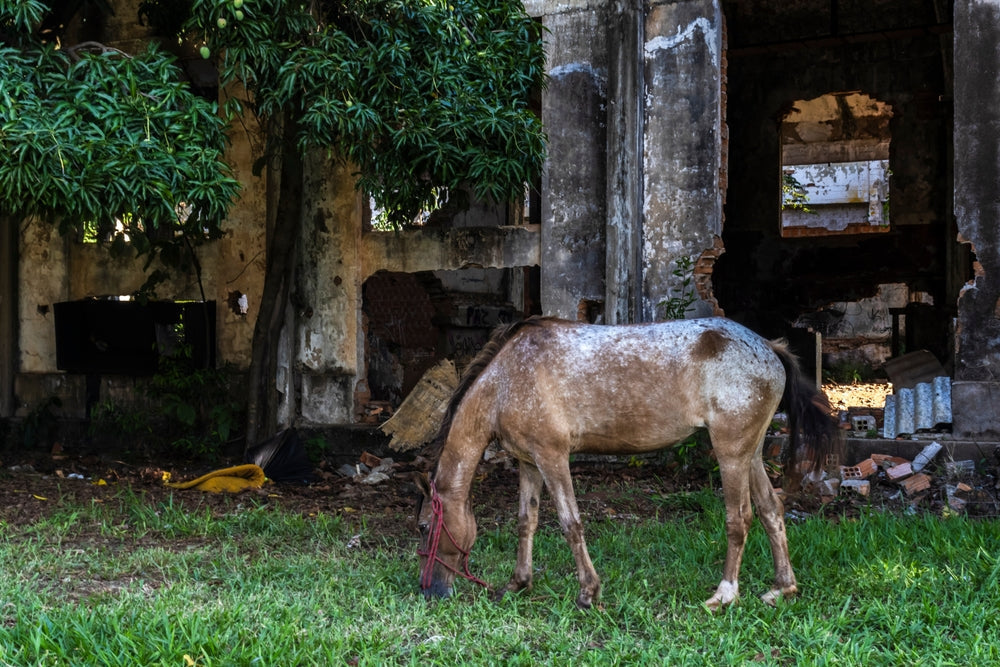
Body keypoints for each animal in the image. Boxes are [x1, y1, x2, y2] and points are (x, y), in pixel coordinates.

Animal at [416, 316, 841, 610]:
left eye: (424, 527)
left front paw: (588, 593)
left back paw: (724, 595)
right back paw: (781, 588)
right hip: (750, 453)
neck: (506, 380)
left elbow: (571, 524)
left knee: (739, 519)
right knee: (772, 510)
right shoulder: (529, 463)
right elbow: (526, 522)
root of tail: (769, 347)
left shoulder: (553, 457)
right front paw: (518, 583)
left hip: (731, 454)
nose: (430, 591)